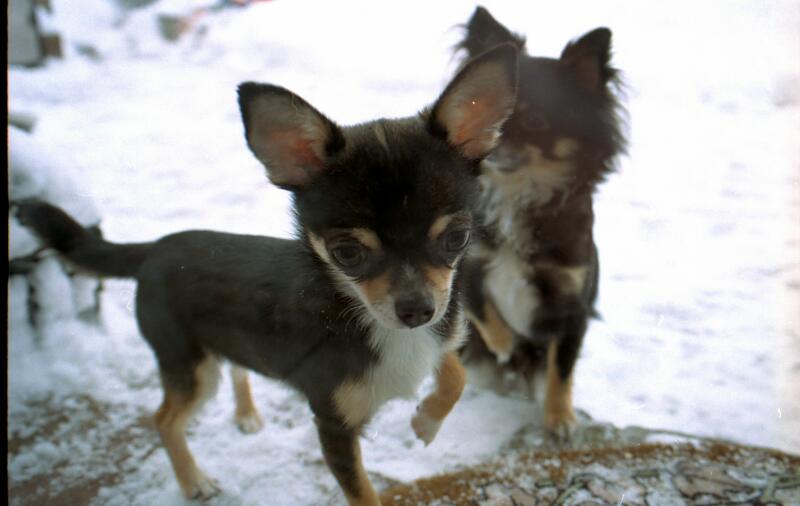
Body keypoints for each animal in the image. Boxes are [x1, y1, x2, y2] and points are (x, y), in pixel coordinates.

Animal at [17, 44, 520, 506]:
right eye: (348, 253)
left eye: (456, 238)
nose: (417, 310)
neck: (362, 316)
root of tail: (156, 247)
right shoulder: (334, 426)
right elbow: (362, 493)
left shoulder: (440, 336)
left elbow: (454, 373)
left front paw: (425, 422)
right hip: (190, 367)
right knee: (164, 419)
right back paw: (193, 480)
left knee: (236, 366)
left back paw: (245, 414)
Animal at [456, 5, 624, 438]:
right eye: (479, 107)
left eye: (533, 121)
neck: (517, 196)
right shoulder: (465, 266)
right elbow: (482, 308)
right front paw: (503, 345)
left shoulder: (571, 307)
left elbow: (560, 369)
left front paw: (559, 418)